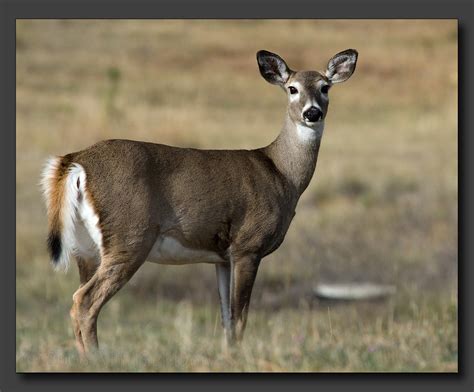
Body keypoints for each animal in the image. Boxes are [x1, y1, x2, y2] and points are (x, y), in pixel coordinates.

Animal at [41, 49, 360, 356]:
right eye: (292, 88)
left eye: (325, 87)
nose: (312, 112)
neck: (282, 173)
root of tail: (75, 161)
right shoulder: (248, 245)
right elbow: (240, 317)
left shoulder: (221, 257)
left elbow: (226, 319)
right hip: (129, 235)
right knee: (84, 301)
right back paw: (98, 358)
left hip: (86, 249)